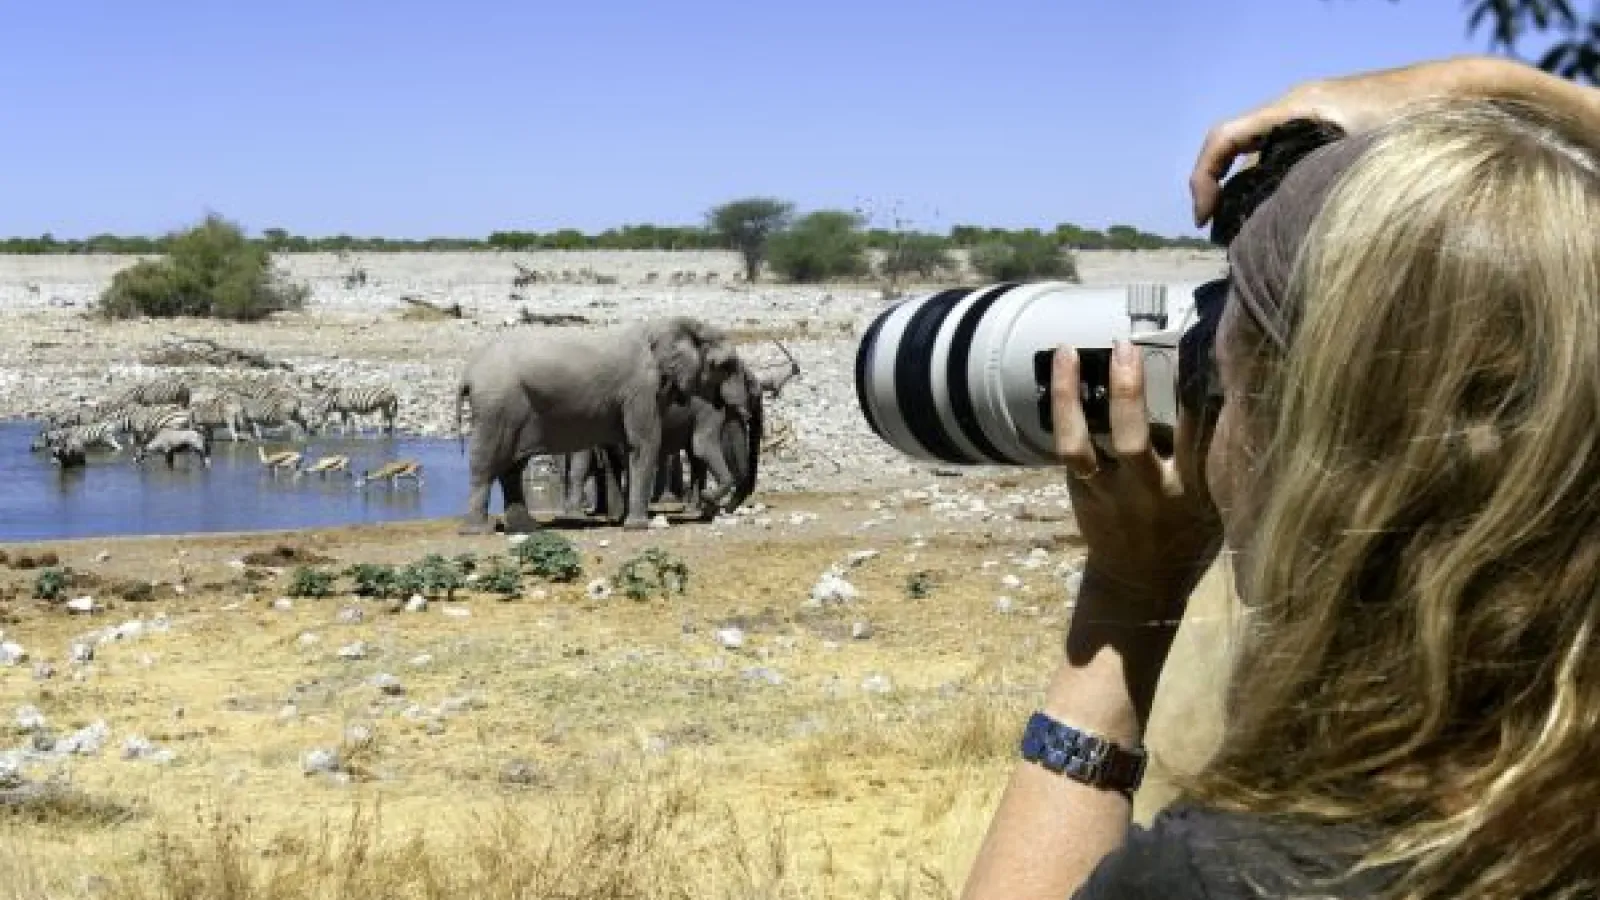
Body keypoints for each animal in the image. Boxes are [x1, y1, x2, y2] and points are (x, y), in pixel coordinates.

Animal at [454, 316, 741, 534]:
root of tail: (468, 373)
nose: (708, 498)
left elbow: (632, 447)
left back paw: (526, 527)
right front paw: (638, 527)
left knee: (512, 467)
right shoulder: (640, 387)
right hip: (497, 406)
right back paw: (478, 531)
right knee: (486, 464)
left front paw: (626, 521)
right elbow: (645, 443)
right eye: (726, 366)